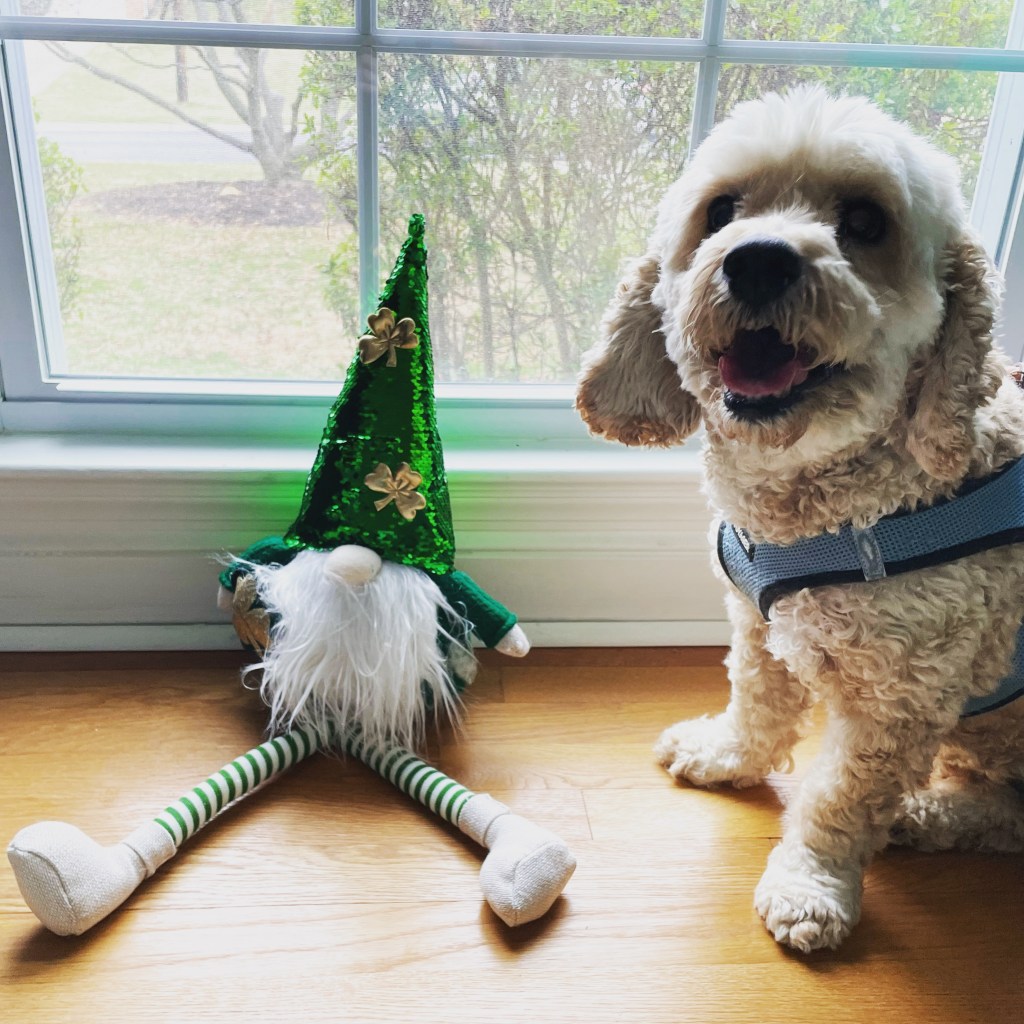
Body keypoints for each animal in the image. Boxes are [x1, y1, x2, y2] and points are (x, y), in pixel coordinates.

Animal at [576, 87, 1024, 953]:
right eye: (721, 211)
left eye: (867, 221)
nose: (758, 260)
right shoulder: (758, 626)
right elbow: (757, 703)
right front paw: (724, 755)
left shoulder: (899, 698)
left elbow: (839, 802)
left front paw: (811, 886)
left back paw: (923, 812)